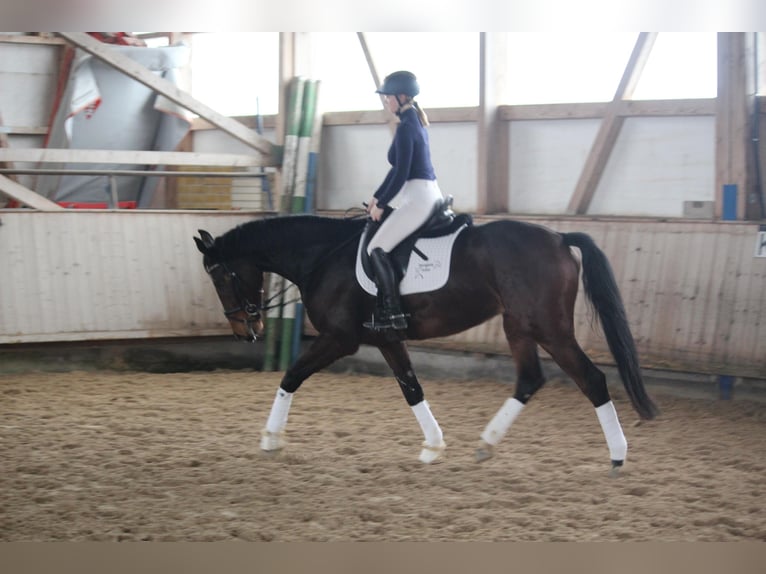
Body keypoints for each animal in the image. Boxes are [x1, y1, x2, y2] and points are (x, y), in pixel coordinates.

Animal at [195, 215, 656, 472]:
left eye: (220, 277)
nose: (245, 330)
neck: (323, 256)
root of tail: (559, 237)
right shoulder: (386, 339)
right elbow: (412, 389)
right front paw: (433, 447)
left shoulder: (339, 339)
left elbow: (291, 376)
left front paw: (270, 440)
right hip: (519, 327)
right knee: (530, 379)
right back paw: (486, 445)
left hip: (548, 328)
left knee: (592, 380)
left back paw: (618, 456)